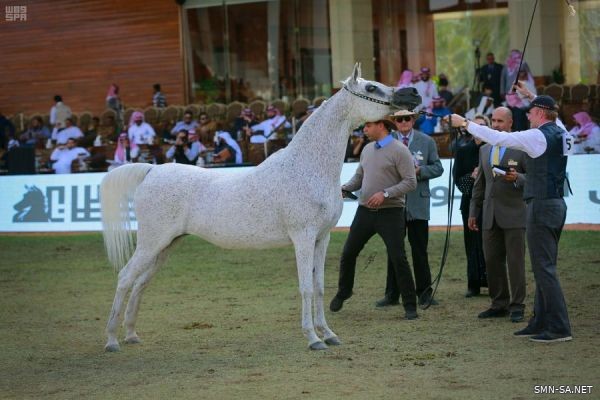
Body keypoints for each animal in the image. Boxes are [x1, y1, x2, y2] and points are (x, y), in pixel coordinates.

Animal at [102, 62, 400, 350]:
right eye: (371, 87)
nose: (405, 96)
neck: (305, 167)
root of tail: (151, 170)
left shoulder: (321, 238)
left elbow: (318, 287)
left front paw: (328, 334)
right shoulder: (303, 238)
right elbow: (305, 287)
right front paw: (313, 338)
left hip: (165, 246)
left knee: (140, 283)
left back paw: (131, 334)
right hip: (151, 243)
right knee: (125, 278)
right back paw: (112, 340)